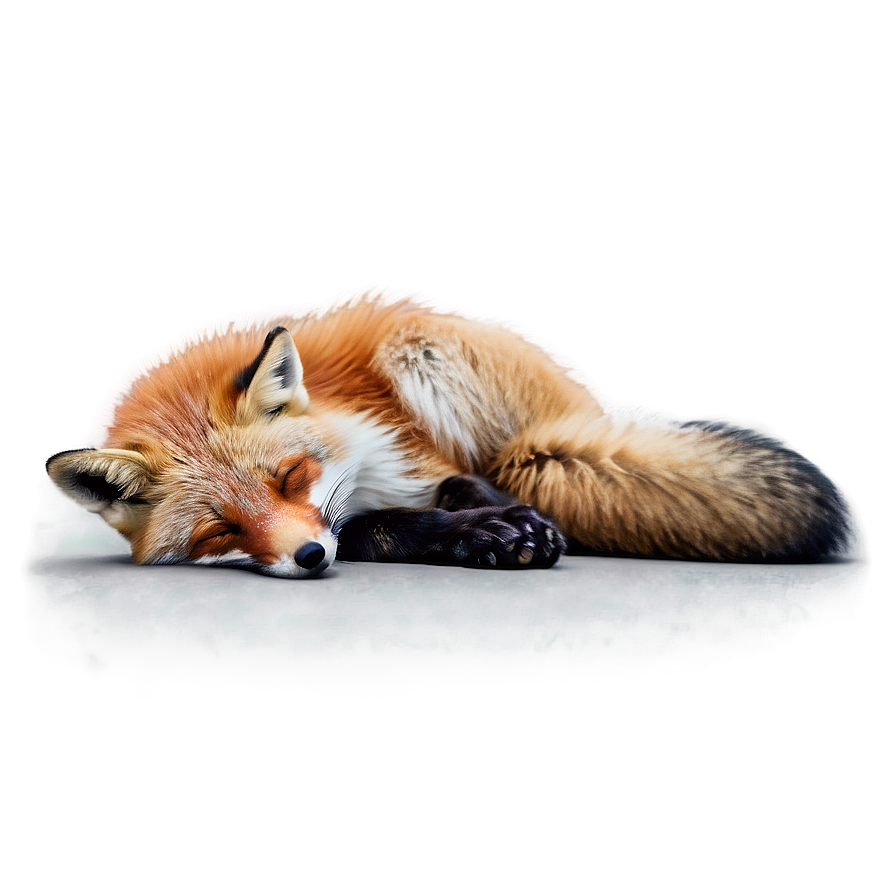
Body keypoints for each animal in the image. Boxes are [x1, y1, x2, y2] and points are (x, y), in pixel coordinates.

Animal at [46, 292, 855, 578]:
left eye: (292, 477)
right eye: (221, 531)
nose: (308, 558)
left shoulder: (410, 448)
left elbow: (460, 485)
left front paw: (508, 523)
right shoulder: (369, 504)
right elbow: (374, 525)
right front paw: (477, 535)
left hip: (422, 346)